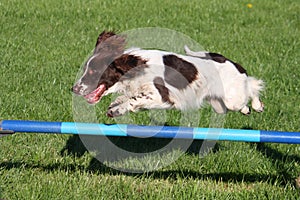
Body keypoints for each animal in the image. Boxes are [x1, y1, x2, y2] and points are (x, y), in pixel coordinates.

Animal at [72, 31, 262, 117]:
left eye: (93, 71)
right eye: (85, 69)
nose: (74, 89)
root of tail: (226, 59)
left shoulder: (162, 96)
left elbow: (136, 99)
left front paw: (119, 108)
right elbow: (126, 97)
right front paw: (116, 105)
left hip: (232, 98)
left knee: (252, 87)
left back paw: (258, 106)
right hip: (219, 105)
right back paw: (248, 110)